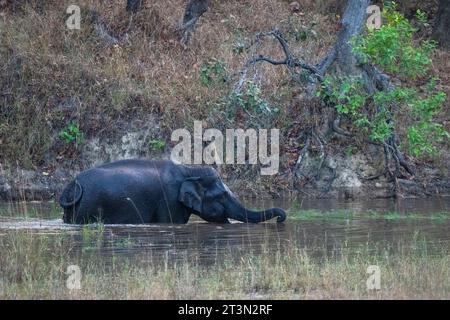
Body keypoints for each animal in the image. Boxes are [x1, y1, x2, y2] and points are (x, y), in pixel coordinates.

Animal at [59, 160, 286, 225]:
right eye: (221, 196)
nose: (280, 218)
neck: (189, 170)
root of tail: (72, 185)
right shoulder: (169, 200)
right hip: (88, 207)